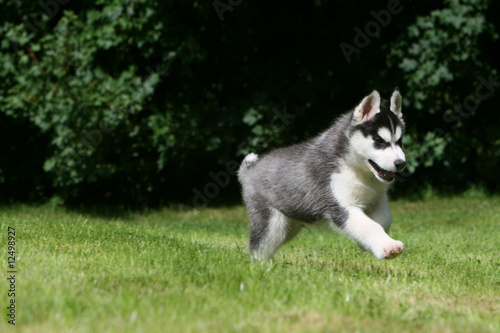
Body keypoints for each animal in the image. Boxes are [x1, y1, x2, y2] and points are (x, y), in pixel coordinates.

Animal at [238, 90, 406, 260]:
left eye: (400, 141)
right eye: (379, 140)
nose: (401, 163)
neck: (359, 170)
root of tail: (250, 168)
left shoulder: (377, 198)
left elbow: (384, 220)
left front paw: (367, 244)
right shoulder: (340, 205)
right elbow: (369, 225)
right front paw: (388, 246)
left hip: (289, 224)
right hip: (271, 223)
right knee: (258, 247)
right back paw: (261, 265)